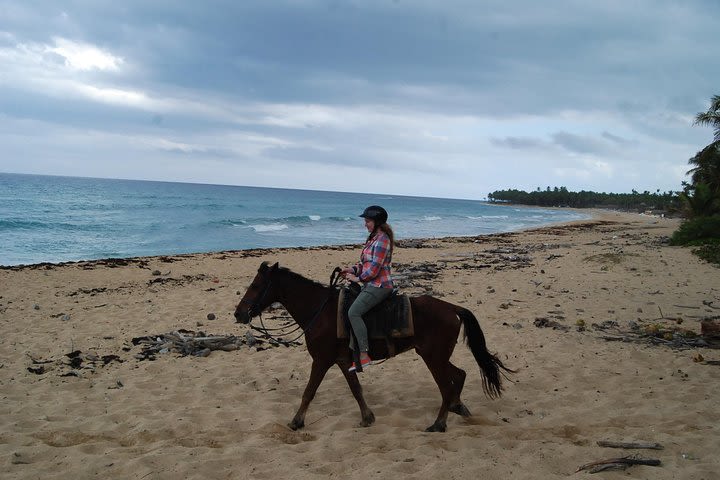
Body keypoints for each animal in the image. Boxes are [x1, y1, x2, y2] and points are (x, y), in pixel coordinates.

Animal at [232, 260, 512, 434]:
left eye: (256, 285)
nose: (238, 313)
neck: (320, 311)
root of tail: (452, 308)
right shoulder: (343, 361)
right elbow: (356, 390)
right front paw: (367, 417)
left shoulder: (321, 360)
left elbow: (309, 392)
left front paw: (296, 421)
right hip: (438, 356)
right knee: (459, 375)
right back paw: (458, 407)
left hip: (433, 357)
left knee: (446, 386)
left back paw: (439, 424)